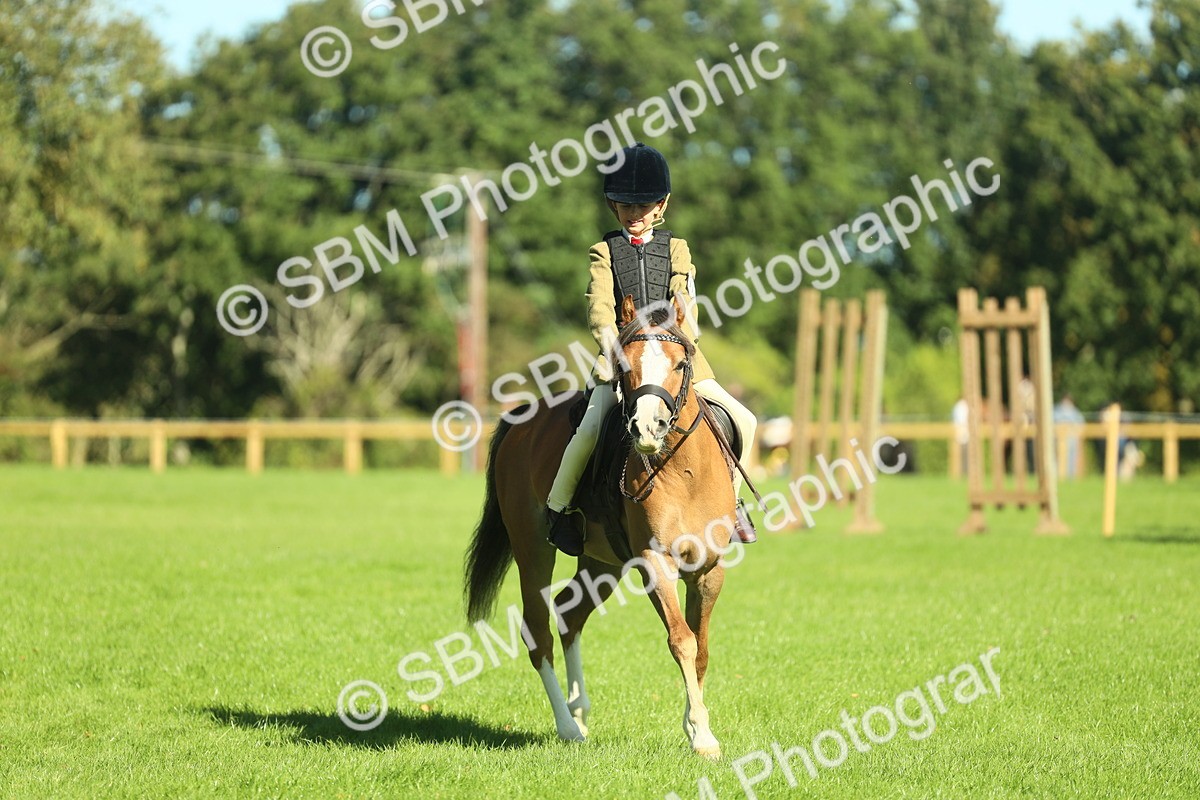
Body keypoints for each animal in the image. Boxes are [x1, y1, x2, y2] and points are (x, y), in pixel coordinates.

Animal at [464, 294, 740, 758]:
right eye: (624, 364)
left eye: (680, 364)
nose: (646, 428)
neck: (683, 470)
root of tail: (522, 418)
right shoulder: (655, 562)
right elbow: (681, 640)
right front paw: (702, 736)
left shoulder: (709, 569)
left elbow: (700, 646)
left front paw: (695, 725)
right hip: (533, 550)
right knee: (538, 631)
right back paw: (567, 726)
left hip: (603, 563)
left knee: (568, 613)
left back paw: (579, 713)